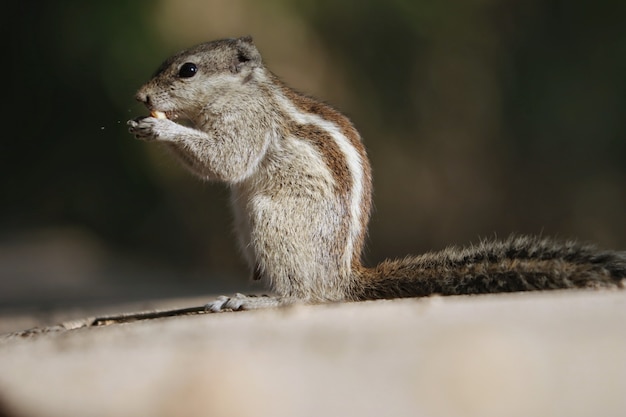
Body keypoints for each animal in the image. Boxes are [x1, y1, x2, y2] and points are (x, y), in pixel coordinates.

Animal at [128, 35, 624, 310]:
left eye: (188, 70)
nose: (140, 96)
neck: (243, 92)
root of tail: (343, 277)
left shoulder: (247, 124)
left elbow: (226, 160)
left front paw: (161, 127)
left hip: (274, 220)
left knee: (305, 293)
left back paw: (253, 300)